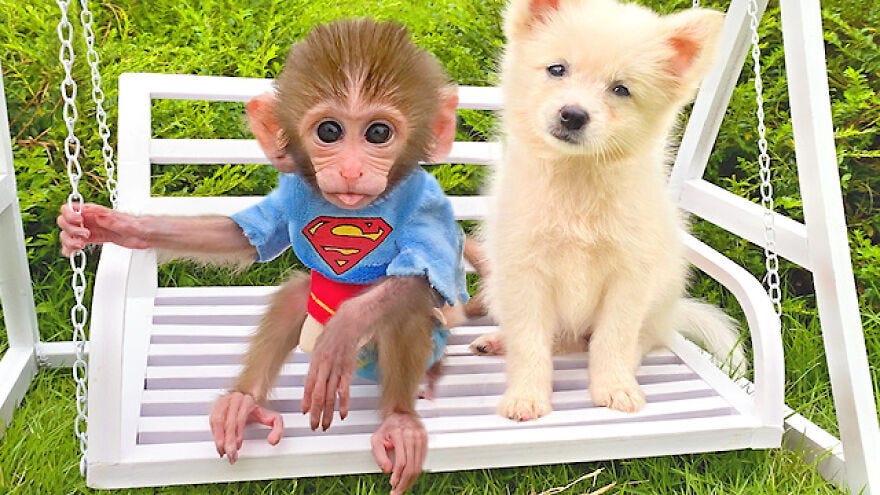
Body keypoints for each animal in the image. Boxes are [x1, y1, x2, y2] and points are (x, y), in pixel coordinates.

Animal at [58, 18, 469, 494]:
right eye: (329, 132)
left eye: (378, 133)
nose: (350, 170)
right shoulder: (293, 190)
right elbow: (240, 237)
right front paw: (114, 227)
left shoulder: (428, 204)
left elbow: (422, 274)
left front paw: (343, 327)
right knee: (296, 297)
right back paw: (246, 402)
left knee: (409, 307)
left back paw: (398, 421)